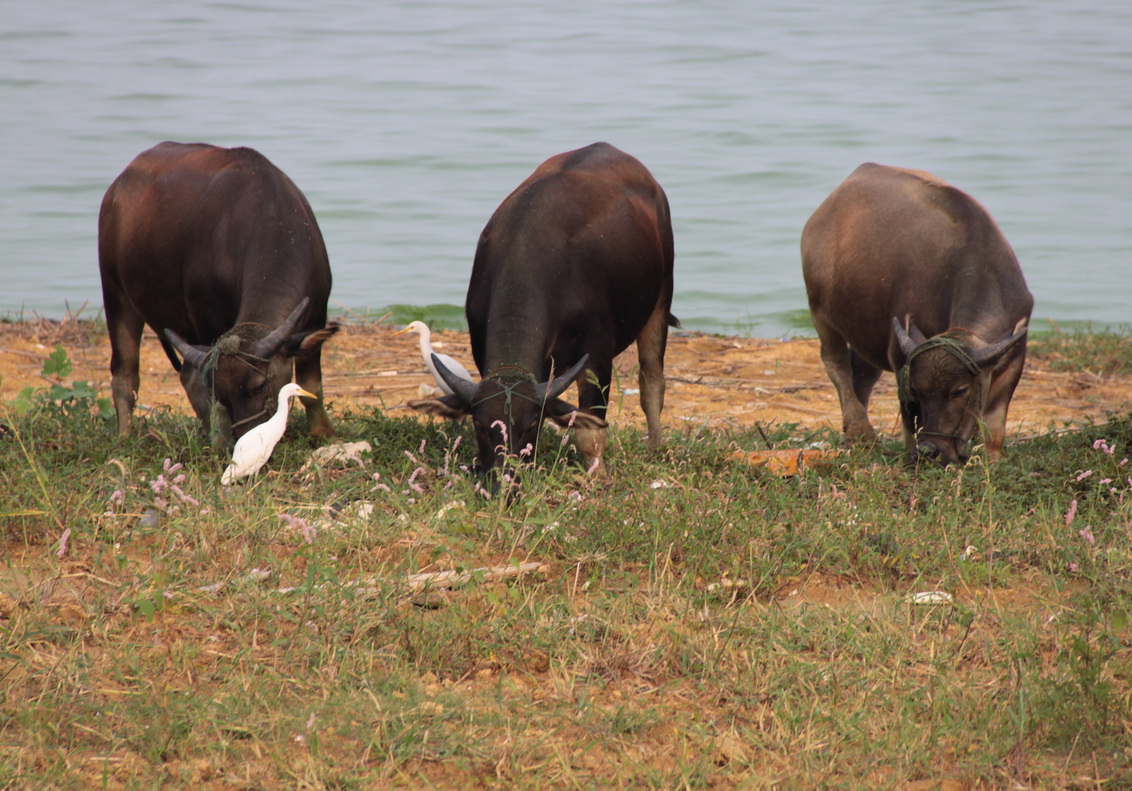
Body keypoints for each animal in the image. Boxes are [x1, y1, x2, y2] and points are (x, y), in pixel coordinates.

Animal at [97, 140, 337, 445]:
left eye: (260, 386)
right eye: (222, 393)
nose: (249, 436)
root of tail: (116, 188)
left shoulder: (317, 314)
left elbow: (311, 385)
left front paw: (324, 433)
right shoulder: (206, 323)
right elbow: (208, 397)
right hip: (114, 290)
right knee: (127, 375)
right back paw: (127, 436)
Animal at [409, 140, 674, 477]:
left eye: (530, 424)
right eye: (480, 426)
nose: (505, 477)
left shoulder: (597, 355)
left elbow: (590, 429)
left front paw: (597, 475)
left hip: (663, 292)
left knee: (651, 377)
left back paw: (655, 445)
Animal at [796, 164, 1036, 466]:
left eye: (960, 390)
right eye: (918, 390)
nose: (931, 449)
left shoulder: (1015, 355)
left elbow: (994, 427)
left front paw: (989, 462)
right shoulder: (899, 354)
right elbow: (908, 416)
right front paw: (912, 454)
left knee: (861, 375)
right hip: (820, 313)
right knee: (837, 363)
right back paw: (860, 432)